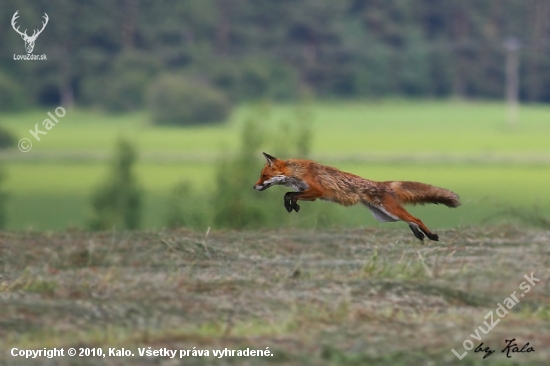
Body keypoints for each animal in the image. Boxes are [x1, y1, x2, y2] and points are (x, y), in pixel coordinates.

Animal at [254, 153, 462, 242]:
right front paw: (293, 206)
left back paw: (431, 235)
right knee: (411, 220)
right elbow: (290, 194)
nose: (253, 186)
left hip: (391, 211)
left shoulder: (318, 191)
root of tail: (383, 183)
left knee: (416, 218)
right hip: (387, 216)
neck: (298, 172)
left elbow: (288, 193)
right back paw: (420, 235)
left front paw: (291, 205)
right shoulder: (310, 194)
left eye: (263, 176)